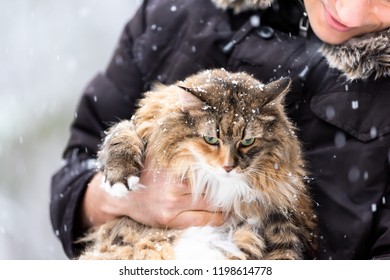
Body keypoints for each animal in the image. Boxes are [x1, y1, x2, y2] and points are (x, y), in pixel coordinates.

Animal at [77, 68, 316, 260]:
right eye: (211, 139)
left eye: (247, 141)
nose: (228, 167)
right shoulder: (141, 124)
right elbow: (121, 134)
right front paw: (120, 178)